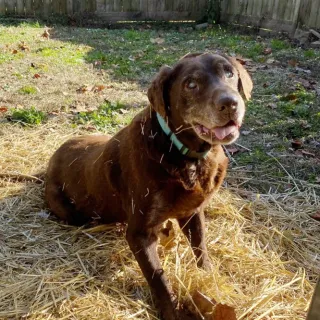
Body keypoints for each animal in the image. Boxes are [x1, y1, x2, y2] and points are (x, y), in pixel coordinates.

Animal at [45, 53, 252, 320]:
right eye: (191, 84)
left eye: (229, 73)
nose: (231, 104)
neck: (185, 156)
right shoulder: (139, 233)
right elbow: (158, 277)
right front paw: (171, 311)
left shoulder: (192, 212)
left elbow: (201, 248)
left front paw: (208, 276)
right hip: (68, 210)